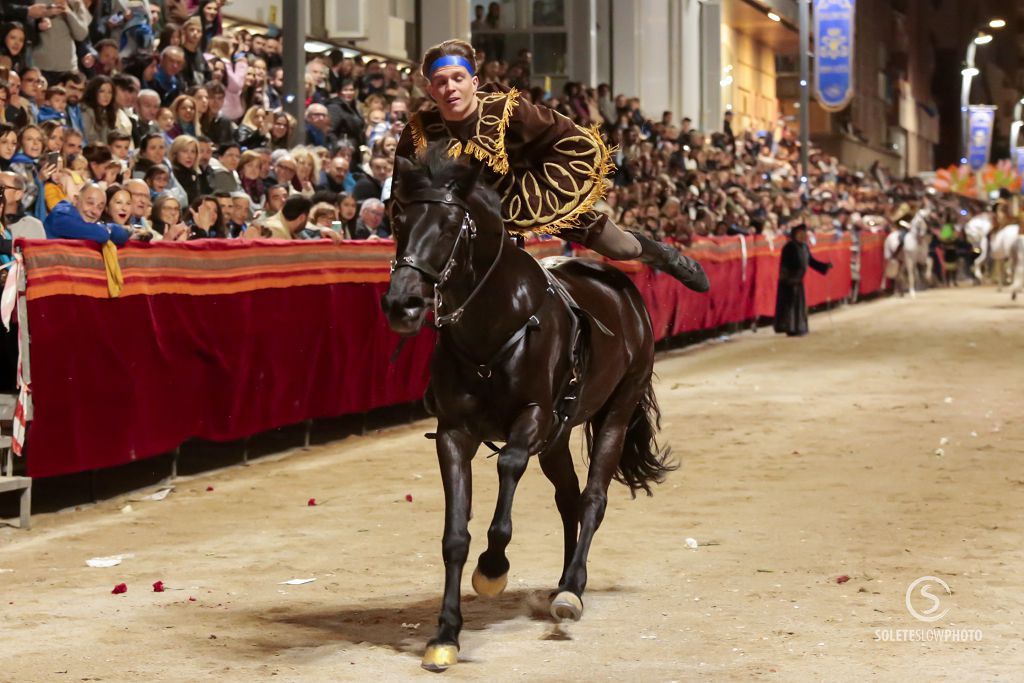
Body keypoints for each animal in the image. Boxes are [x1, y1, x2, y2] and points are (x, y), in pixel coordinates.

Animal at [380, 147, 675, 671]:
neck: (494, 327)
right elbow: (455, 535)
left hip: (615, 413)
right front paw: (445, 635)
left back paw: (572, 590)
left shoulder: (534, 416)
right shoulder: (454, 432)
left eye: (451, 225)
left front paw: (492, 568)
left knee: (593, 498)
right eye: (398, 219)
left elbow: (510, 469)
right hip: (559, 437)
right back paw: (564, 582)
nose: (403, 303)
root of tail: (622, 290)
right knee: (570, 498)